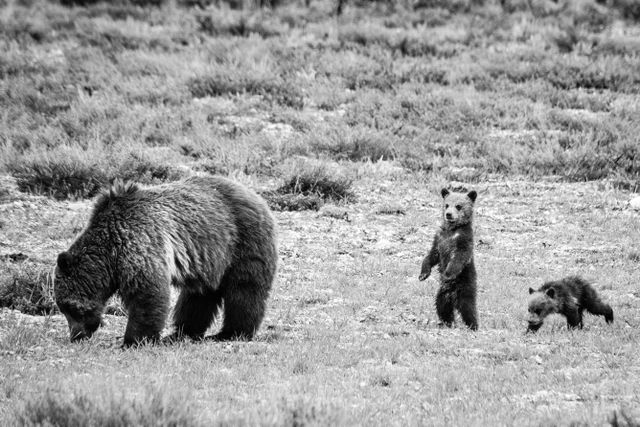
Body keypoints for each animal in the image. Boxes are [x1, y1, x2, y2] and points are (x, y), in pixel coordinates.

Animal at [53, 176, 276, 346]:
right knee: (198, 297)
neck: (110, 254)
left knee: (244, 289)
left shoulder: (138, 243)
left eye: (69, 308)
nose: (76, 336)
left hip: (242, 242)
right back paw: (181, 333)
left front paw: (133, 340)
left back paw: (231, 333)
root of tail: (257, 196)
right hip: (209, 259)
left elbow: (147, 294)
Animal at [418, 189, 478, 332]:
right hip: (442, 294)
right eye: (446, 204)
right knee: (442, 307)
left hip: (465, 286)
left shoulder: (463, 241)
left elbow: (459, 258)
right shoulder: (439, 239)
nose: (448, 214)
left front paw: (448, 273)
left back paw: (473, 326)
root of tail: (453, 298)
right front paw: (423, 274)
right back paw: (447, 323)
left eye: (458, 206)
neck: (452, 230)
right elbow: (431, 255)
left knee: (469, 308)